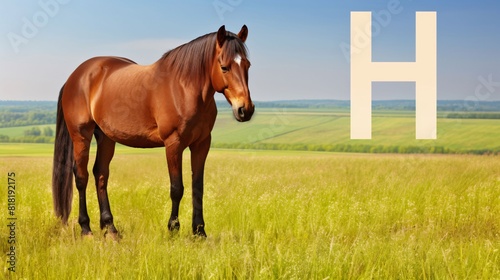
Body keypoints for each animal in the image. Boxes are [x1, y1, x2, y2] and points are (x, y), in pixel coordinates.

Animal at [52, 25, 254, 237]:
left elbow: (198, 186)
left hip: (106, 137)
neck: (184, 88)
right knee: (81, 176)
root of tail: (75, 77)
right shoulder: (173, 143)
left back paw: (110, 229)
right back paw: (86, 229)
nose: (245, 109)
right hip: (81, 135)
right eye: (224, 67)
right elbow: (177, 188)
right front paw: (173, 229)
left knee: (100, 174)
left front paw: (199, 232)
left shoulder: (202, 144)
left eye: (247, 65)